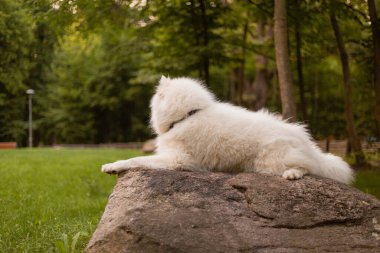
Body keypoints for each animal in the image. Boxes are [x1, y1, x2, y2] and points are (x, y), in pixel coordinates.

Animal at [101, 75, 354, 184]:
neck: (189, 115)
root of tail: (307, 142)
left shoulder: (177, 159)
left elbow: (134, 159)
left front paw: (112, 165)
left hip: (268, 162)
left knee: (308, 168)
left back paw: (293, 173)